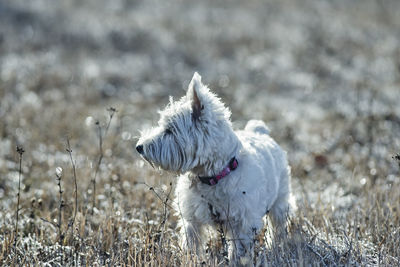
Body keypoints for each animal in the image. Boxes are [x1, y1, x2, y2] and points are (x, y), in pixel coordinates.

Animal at [138, 73, 294, 266]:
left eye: (169, 130)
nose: (139, 147)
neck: (211, 176)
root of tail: (260, 132)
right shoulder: (192, 219)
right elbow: (192, 244)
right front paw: (191, 260)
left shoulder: (241, 224)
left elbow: (238, 252)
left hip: (280, 200)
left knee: (278, 225)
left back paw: (277, 246)